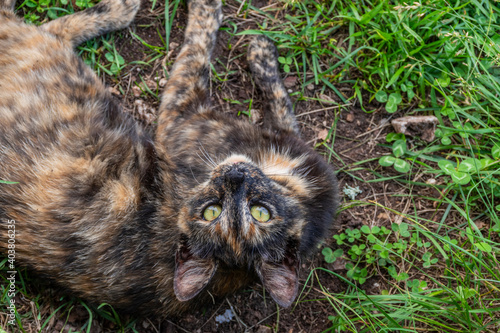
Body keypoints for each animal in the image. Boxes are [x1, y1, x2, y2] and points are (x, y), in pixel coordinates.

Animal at [0, 0, 338, 316]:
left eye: (260, 213)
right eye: (212, 211)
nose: (235, 177)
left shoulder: (185, 119)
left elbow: (205, 56)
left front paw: (252, 45)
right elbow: (276, 103)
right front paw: (262, 53)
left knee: (46, 26)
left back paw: (121, 7)